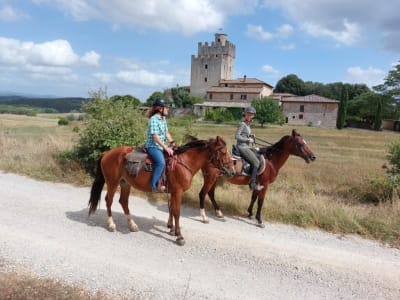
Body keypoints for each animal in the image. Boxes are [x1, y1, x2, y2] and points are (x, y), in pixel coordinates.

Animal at [86, 137, 233, 246]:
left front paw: (172, 229)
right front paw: (179, 236)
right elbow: (177, 212)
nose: (231, 171)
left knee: (123, 202)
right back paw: (111, 224)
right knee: (109, 201)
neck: (184, 162)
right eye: (223, 153)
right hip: (112, 183)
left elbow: (172, 210)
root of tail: (107, 153)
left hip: (125, 183)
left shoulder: (173, 192)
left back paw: (132, 225)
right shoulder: (178, 191)